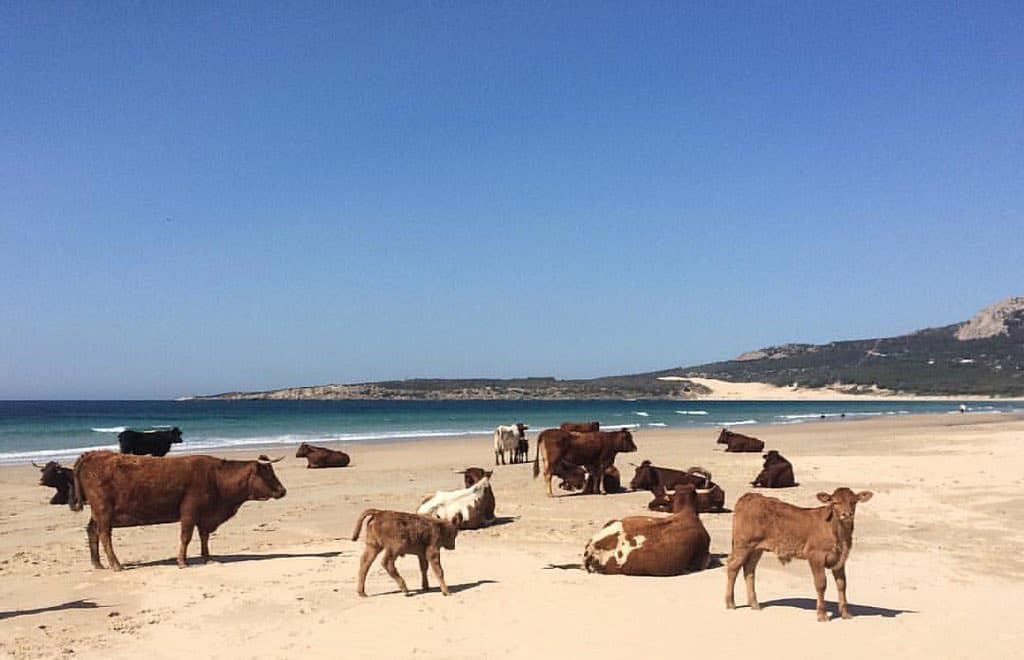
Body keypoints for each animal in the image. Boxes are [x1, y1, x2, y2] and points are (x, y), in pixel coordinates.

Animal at [69, 451, 286, 570]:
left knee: (92, 532)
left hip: (97, 514)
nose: (283, 491)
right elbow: (186, 537)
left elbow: (204, 537)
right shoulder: (189, 512)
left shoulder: (204, 516)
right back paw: (116, 565)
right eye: (268, 473)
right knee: (105, 535)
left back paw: (97, 563)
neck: (216, 477)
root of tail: (92, 454)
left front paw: (208, 558)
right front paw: (182, 561)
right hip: (104, 511)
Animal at [725, 488, 874, 622]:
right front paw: (822, 614)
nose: (846, 514)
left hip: (756, 549)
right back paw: (730, 603)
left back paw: (754, 604)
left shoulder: (840, 559)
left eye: (853, 502)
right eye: (835, 502)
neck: (837, 532)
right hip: (743, 545)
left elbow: (842, 584)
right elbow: (821, 584)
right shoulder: (815, 556)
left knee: (749, 570)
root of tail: (751, 496)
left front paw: (845, 614)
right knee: (733, 568)